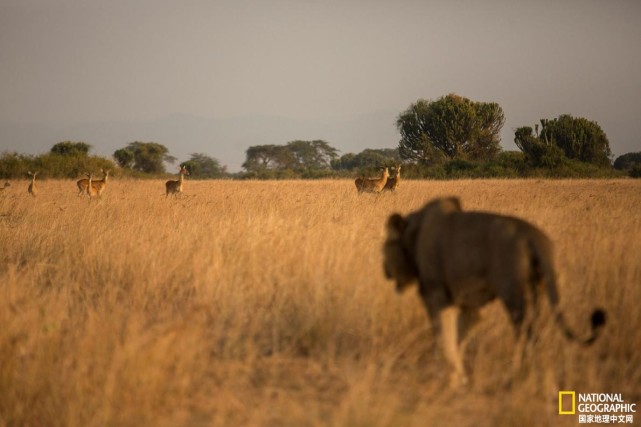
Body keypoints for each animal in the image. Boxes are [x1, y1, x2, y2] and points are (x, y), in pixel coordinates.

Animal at [382, 199, 608, 386]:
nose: (384, 270)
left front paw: (447, 375)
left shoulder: (436, 296)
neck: (414, 235)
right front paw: (459, 376)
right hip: (539, 290)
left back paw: (522, 376)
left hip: (513, 293)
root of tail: (532, 235)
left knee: (525, 333)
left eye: (384, 249)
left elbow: (443, 336)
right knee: (536, 331)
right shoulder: (469, 307)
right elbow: (458, 337)